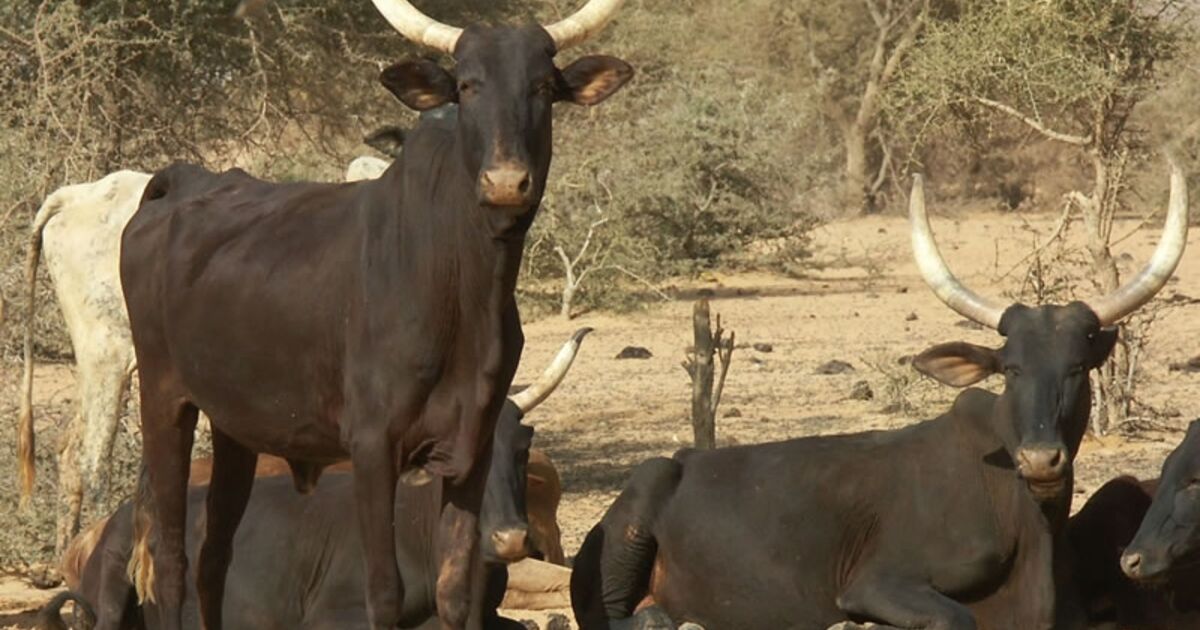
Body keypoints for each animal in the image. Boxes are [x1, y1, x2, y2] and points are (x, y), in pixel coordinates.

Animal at [570, 166, 1188, 630]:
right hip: (637, 509)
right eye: (1010, 370)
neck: (1025, 519)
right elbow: (953, 617)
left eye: (1078, 367)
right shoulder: (877, 582)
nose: (1041, 460)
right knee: (628, 617)